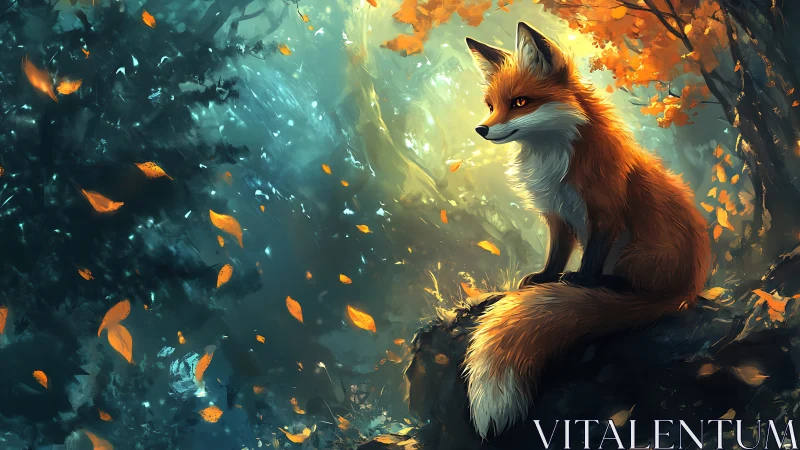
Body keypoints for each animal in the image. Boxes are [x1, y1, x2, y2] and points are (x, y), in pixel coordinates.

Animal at [462, 22, 711, 438]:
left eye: (520, 102)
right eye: (491, 105)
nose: (481, 129)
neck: (552, 156)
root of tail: (690, 288)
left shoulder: (606, 211)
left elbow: (591, 257)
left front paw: (580, 282)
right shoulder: (557, 214)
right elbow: (557, 253)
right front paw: (545, 277)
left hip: (638, 254)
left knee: (635, 290)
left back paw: (611, 289)